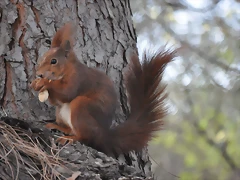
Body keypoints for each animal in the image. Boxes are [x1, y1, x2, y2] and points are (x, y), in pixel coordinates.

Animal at [31, 22, 174, 156]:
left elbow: (67, 93)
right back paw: (57, 127)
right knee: (71, 128)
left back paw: (70, 138)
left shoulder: (78, 78)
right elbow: (56, 100)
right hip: (61, 112)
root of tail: (104, 136)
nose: (39, 74)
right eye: (43, 58)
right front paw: (35, 83)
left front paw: (44, 82)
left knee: (86, 137)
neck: (67, 69)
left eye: (54, 61)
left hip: (81, 107)